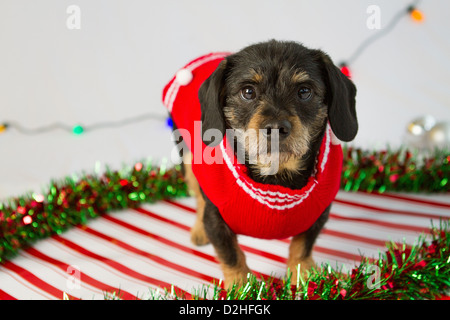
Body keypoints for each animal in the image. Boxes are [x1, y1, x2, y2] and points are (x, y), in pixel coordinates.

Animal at [163, 38, 356, 288]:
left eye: (304, 91)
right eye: (248, 91)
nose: (275, 128)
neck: (277, 178)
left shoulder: (318, 214)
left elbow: (302, 247)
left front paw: (303, 278)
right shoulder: (216, 220)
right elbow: (231, 255)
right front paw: (241, 287)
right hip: (187, 158)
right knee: (198, 196)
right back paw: (198, 229)